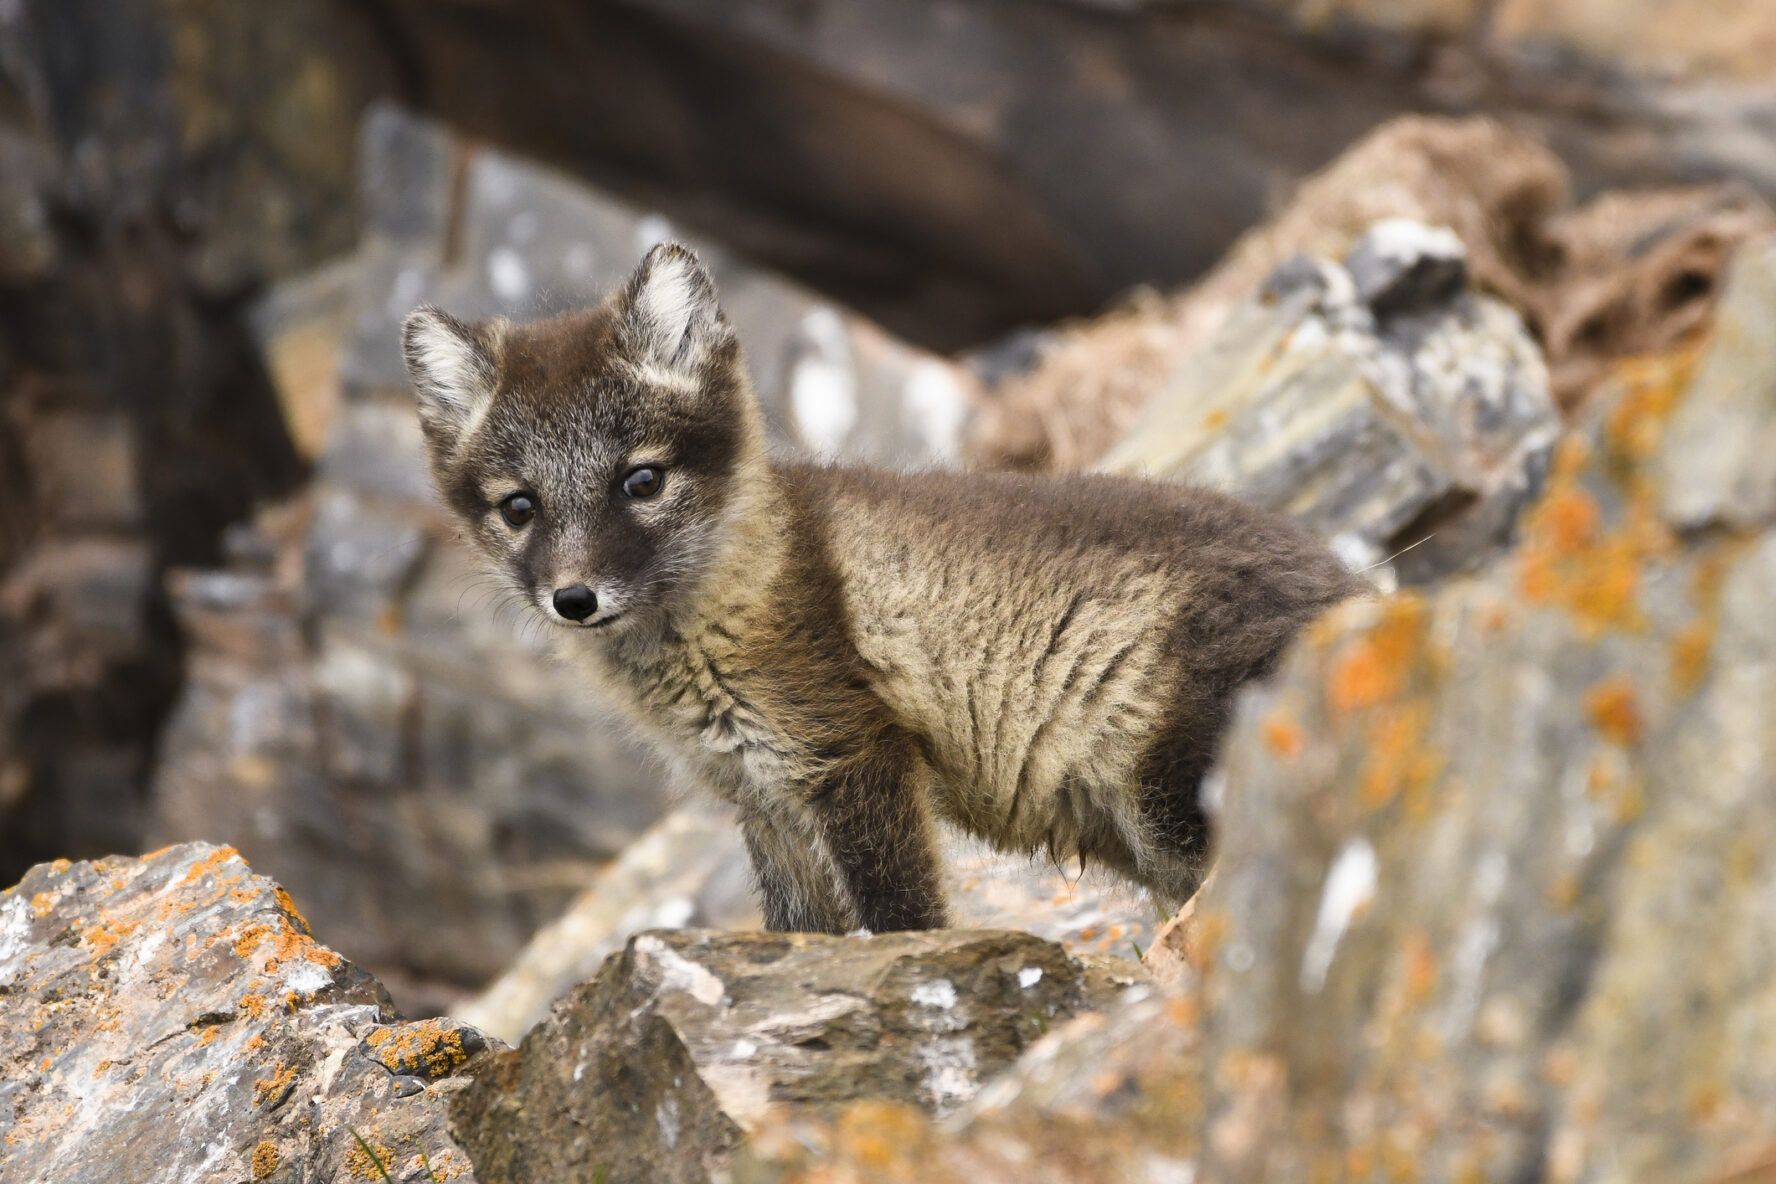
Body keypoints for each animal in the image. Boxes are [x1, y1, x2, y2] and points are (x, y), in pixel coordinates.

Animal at [402, 243, 1362, 934]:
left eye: (641, 481)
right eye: (519, 507)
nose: (574, 599)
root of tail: (1355, 591)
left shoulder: (849, 754)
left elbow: (902, 919)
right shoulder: (762, 801)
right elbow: (801, 936)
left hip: (1177, 801)